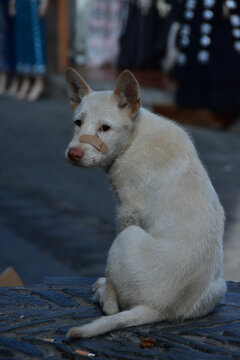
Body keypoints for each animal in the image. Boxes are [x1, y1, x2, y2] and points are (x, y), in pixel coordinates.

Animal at [64, 69, 226, 338]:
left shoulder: (127, 211)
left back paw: (103, 294)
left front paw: (105, 287)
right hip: (219, 288)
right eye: (78, 123)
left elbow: (110, 285)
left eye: (105, 128)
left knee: (112, 308)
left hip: (127, 236)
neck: (134, 136)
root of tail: (159, 309)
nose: (73, 154)